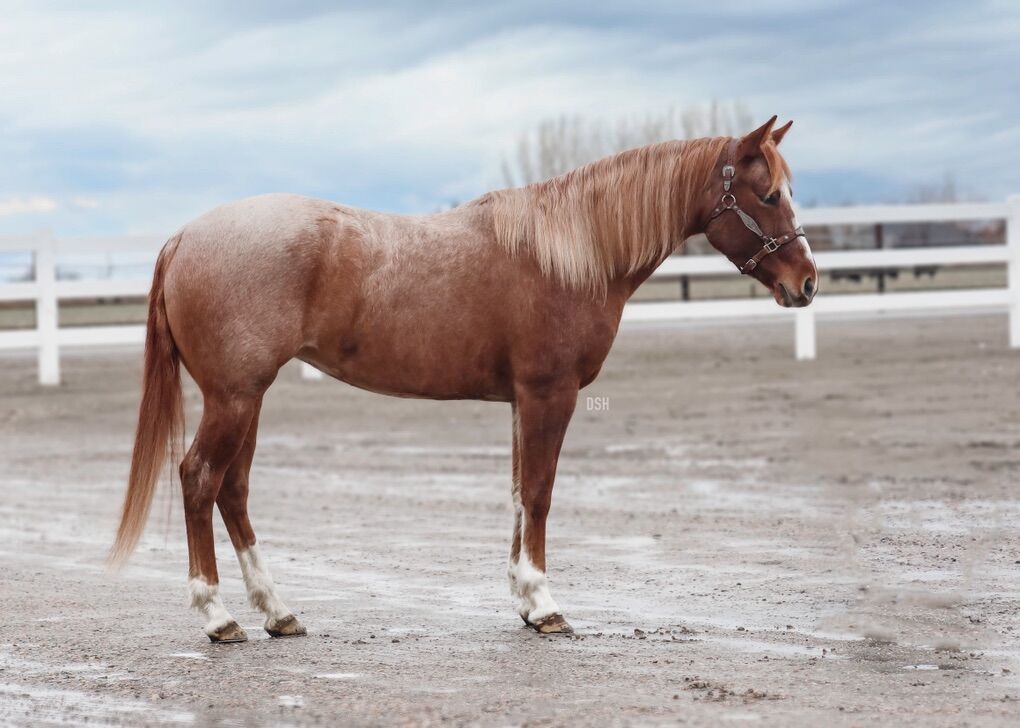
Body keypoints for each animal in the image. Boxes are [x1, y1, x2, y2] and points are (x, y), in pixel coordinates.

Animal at [110, 116, 817, 642]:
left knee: (232, 489)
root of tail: (184, 237)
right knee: (200, 480)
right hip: (233, 398)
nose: (806, 282)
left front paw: (525, 603)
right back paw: (219, 616)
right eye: (769, 195)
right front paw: (546, 605)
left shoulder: (521, 402)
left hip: (246, 399)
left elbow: (518, 494)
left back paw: (278, 612)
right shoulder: (549, 394)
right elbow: (540, 494)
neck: (569, 253)